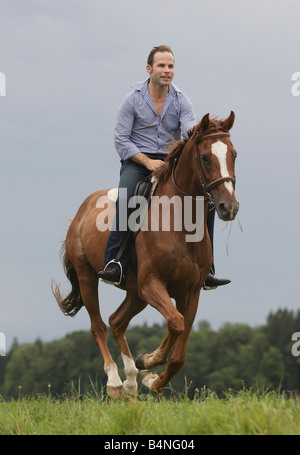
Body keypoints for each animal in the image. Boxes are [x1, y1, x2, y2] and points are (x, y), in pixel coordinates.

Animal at [51, 112, 239, 398]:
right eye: (206, 157)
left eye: (234, 155)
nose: (229, 207)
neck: (179, 223)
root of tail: (82, 210)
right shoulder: (152, 284)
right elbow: (175, 322)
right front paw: (150, 362)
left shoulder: (190, 292)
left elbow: (179, 348)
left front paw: (151, 376)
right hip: (88, 278)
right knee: (99, 326)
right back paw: (115, 382)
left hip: (135, 292)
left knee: (117, 322)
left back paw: (130, 380)